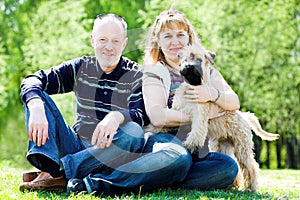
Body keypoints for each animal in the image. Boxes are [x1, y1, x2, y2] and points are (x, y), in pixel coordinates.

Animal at [172, 44, 280, 191]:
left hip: (242, 147)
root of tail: (244, 116)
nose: (188, 67)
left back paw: (252, 187)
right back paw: (233, 185)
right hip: (223, 145)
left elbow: (195, 133)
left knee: (251, 166)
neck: (192, 87)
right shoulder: (176, 109)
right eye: (185, 58)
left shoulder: (200, 117)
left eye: (199, 59)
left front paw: (189, 145)